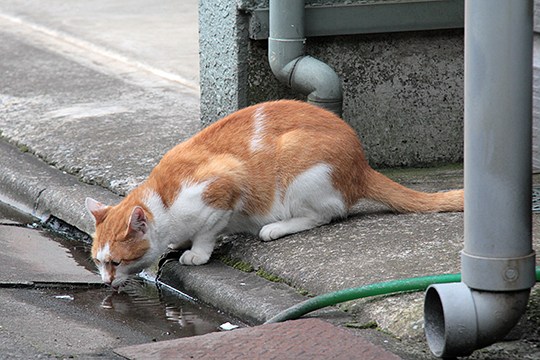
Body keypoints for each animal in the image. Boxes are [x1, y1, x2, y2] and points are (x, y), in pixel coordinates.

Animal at [86, 100, 462, 288]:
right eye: (98, 262)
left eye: (115, 262)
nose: (105, 281)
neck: (163, 204)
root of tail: (362, 165)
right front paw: (180, 245)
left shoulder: (225, 184)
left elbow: (207, 231)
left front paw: (196, 253)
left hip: (298, 165)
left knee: (324, 215)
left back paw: (274, 228)